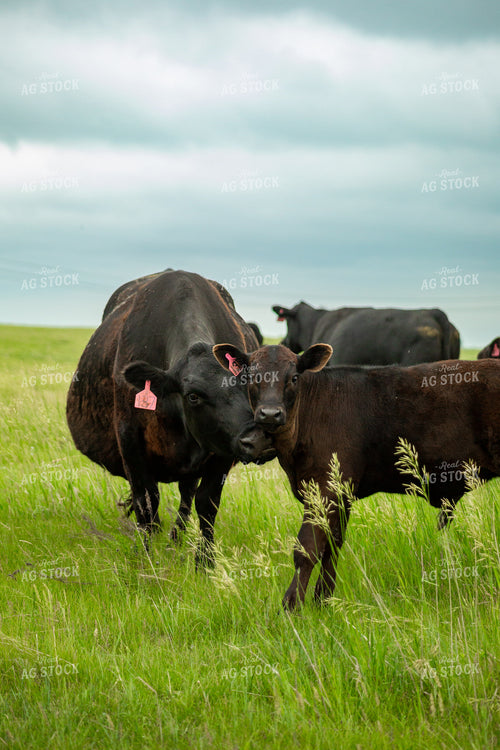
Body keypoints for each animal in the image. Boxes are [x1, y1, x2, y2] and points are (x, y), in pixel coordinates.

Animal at [67, 270, 275, 565]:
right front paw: (145, 559)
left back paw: (175, 540)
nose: (258, 441)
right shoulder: (130, 441)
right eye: (193, 396)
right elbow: (146, 503)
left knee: (186, 496)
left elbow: (206, 504)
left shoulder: (223, 450)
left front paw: (205, 563)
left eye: (253, 386)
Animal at [213, 343, 500, 610]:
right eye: (250, 377)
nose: (270, 414)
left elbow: (306, 548)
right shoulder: (341, 493)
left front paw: (291, 606)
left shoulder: (325, 488)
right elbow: (332, 544)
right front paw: (322, 602)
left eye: (294, 377)